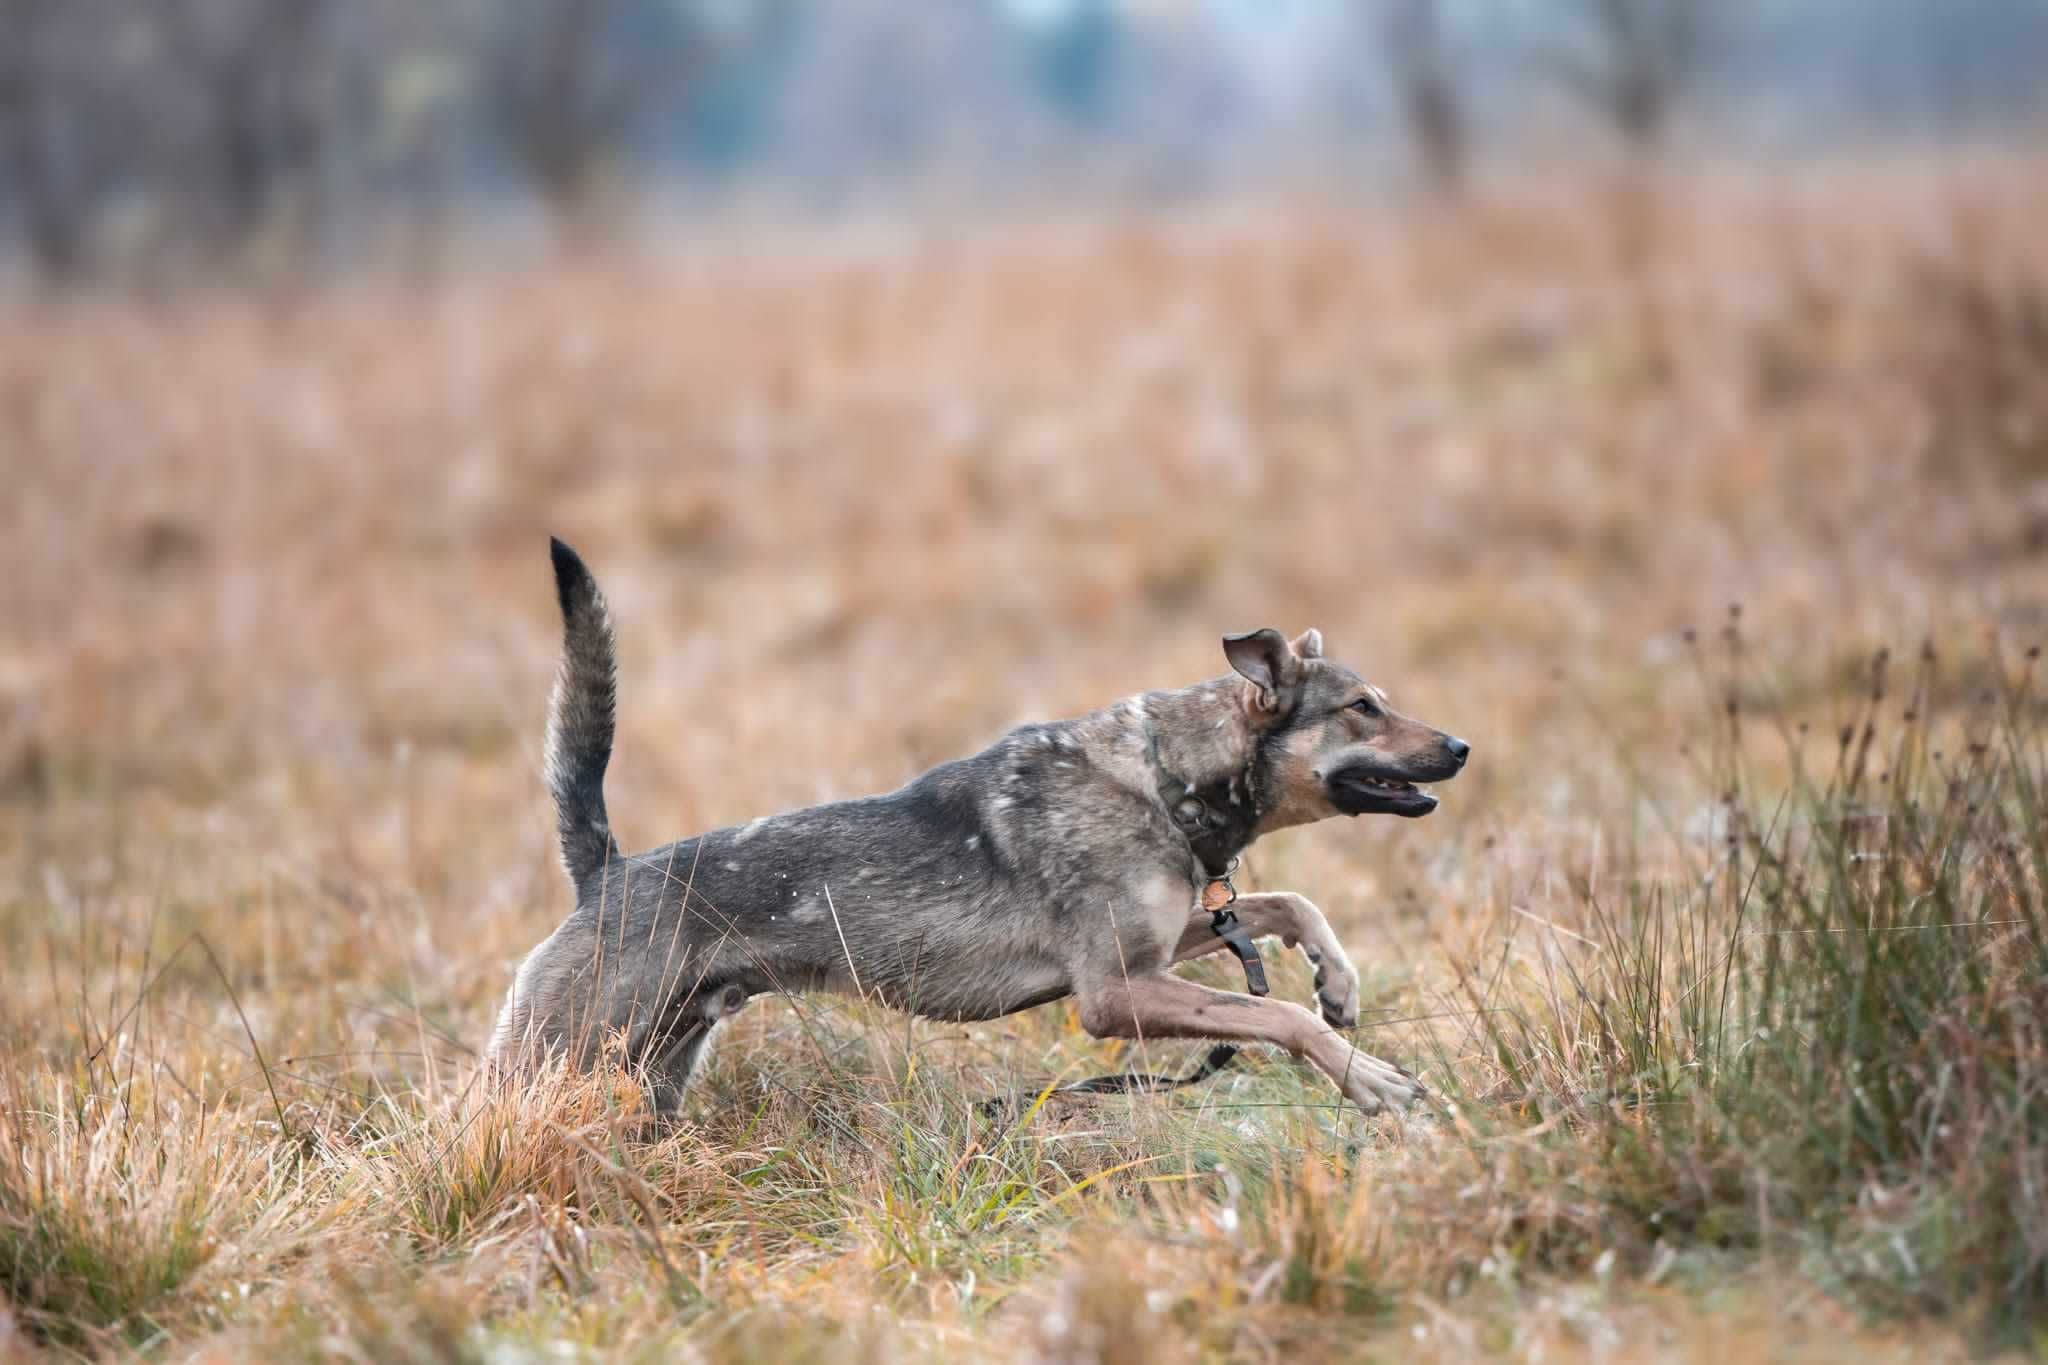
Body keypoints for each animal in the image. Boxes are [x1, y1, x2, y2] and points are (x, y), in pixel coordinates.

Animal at [487, 540, 1466, 1113]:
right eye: (1365, 707)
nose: (1460, 746)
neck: (1164, 778)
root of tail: (606, 868)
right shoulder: (1113, 993)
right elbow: (1280, 1016)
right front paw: (1369, 1076)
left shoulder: (1156, 950)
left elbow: (1286, 904)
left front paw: (1338, 980)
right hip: (552, 1056)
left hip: (652, 1070)